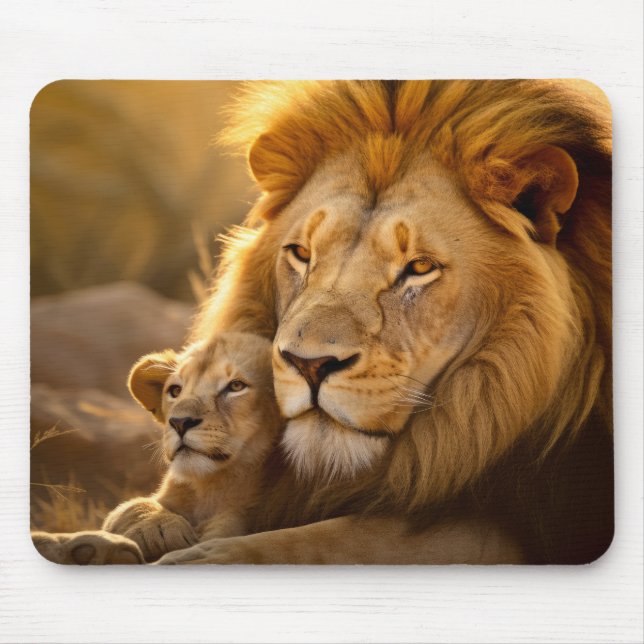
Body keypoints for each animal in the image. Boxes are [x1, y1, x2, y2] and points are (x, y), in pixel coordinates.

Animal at [101, 331, 282, 561]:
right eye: (175, 390)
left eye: (236, 386)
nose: (179, 422)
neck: (210, 487)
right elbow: (131, 507)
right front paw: (158, 528)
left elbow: (232, 526)